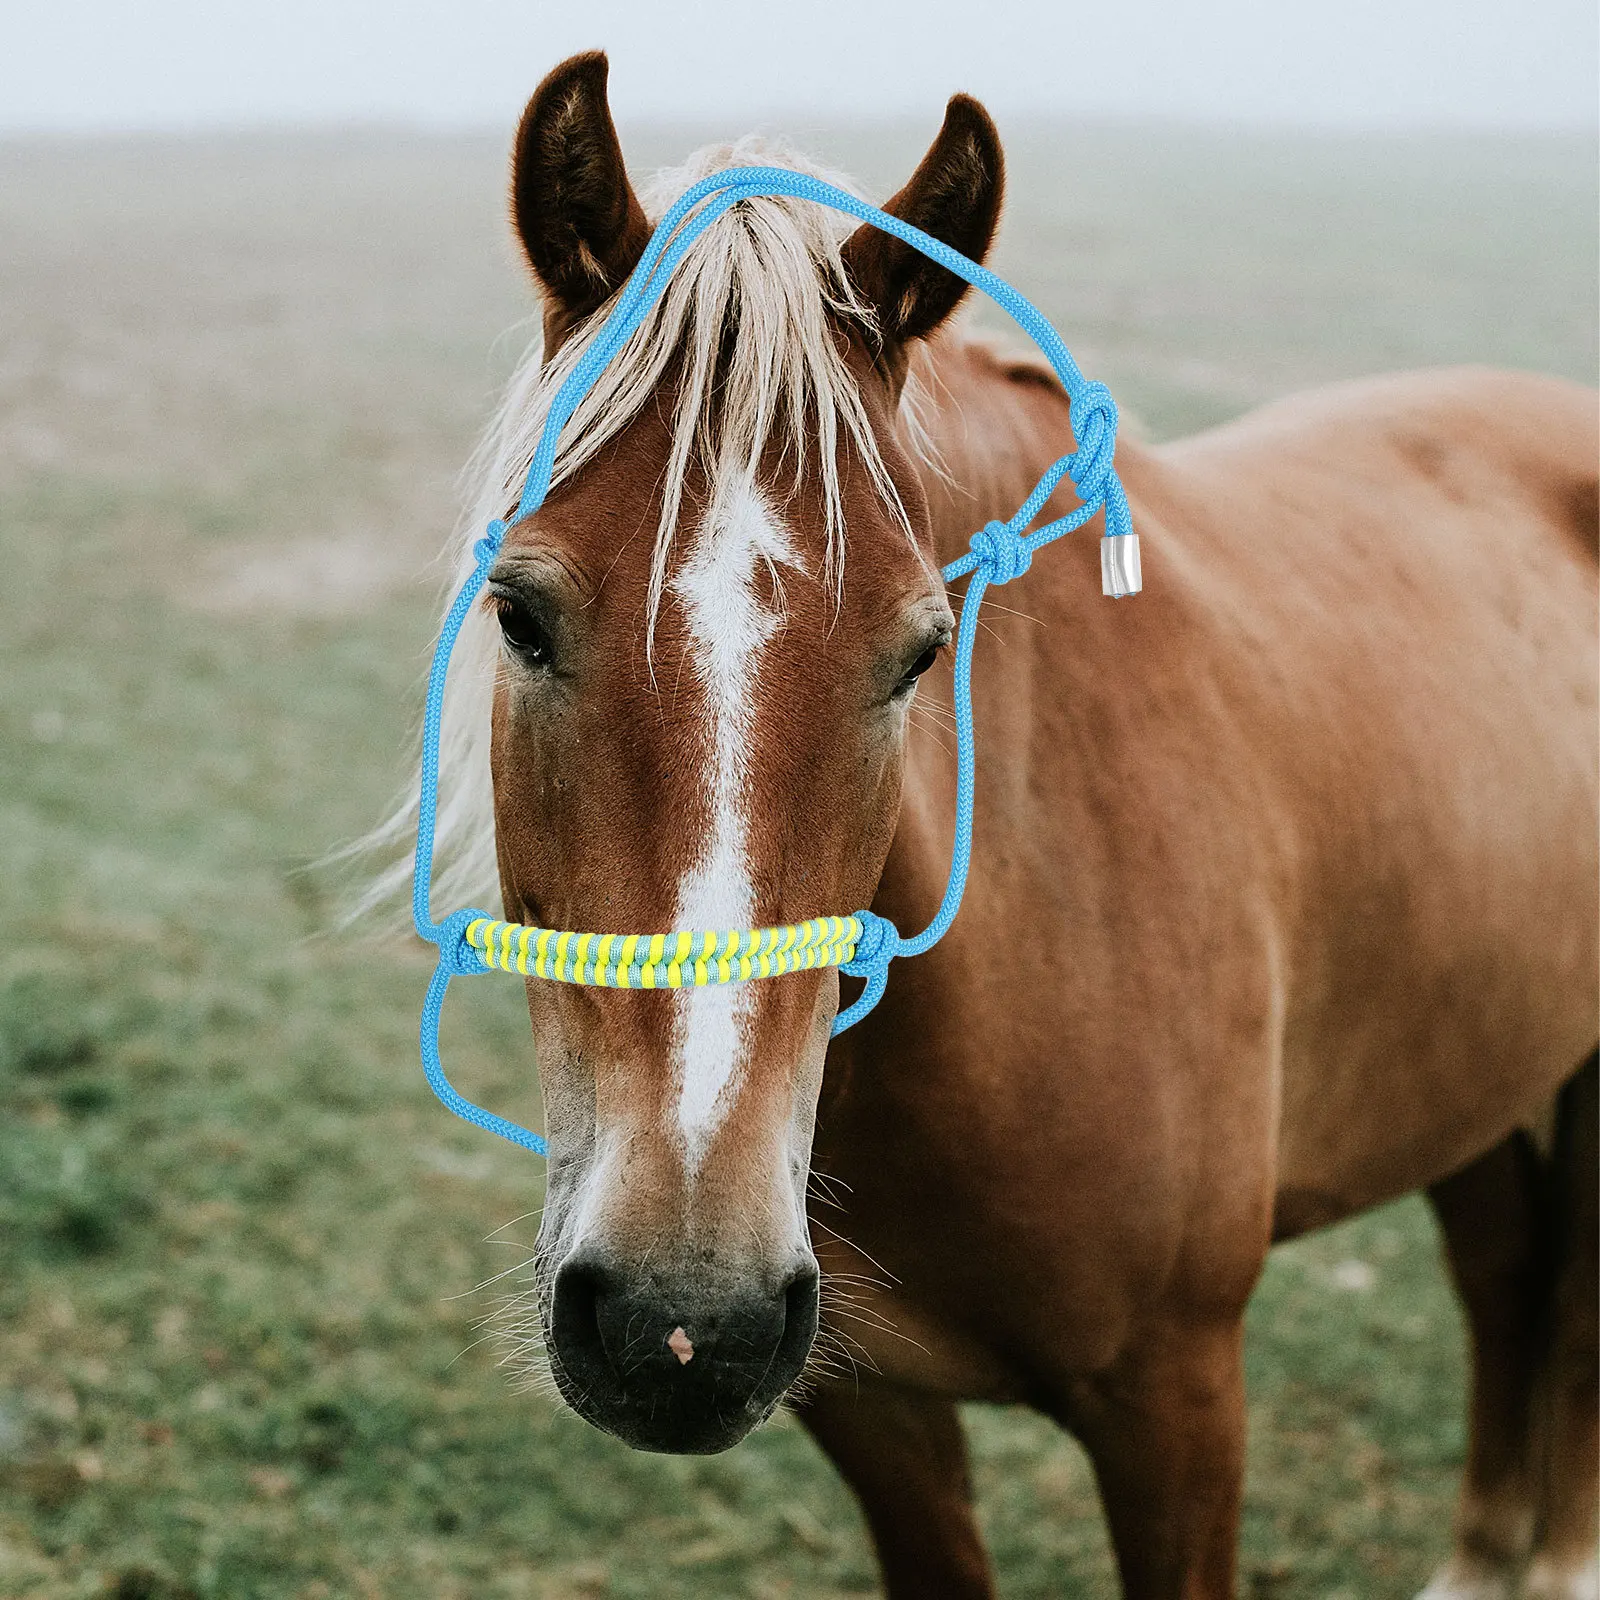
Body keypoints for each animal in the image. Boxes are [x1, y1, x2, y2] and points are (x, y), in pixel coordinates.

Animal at [380, 51, 1599, 1599]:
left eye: (917, 652)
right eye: (520, 615)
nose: (680, 1314)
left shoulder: (1178, 1402)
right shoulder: (871, 1408)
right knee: (1504, 1270)